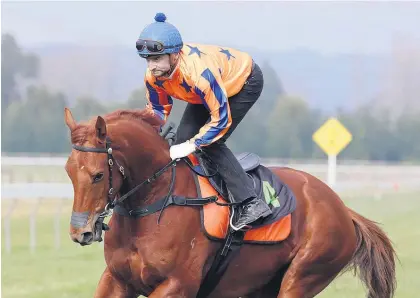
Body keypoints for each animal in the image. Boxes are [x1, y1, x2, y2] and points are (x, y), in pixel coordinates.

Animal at [64, 107, 396, 298]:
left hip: (303, 276)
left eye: (97, 175)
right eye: (68, 171)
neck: (154, 201)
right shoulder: (117, 280)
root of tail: (343, 209)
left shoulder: (177, 284)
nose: (80, 232)